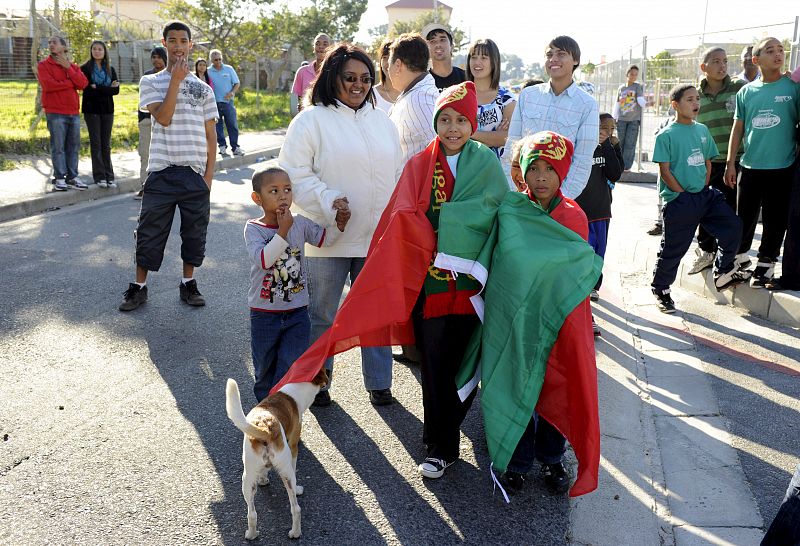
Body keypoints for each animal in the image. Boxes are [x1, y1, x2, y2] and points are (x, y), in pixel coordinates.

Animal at [225, 368, 328, 536]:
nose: (329, 372)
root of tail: (265, 428)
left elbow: (264, 471)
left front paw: (263, 480)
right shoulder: (293, 446)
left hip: (247, 478)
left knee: (252, 514)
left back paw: (251, 535)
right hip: (286, 472)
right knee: (296, 508)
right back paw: (295, 532)